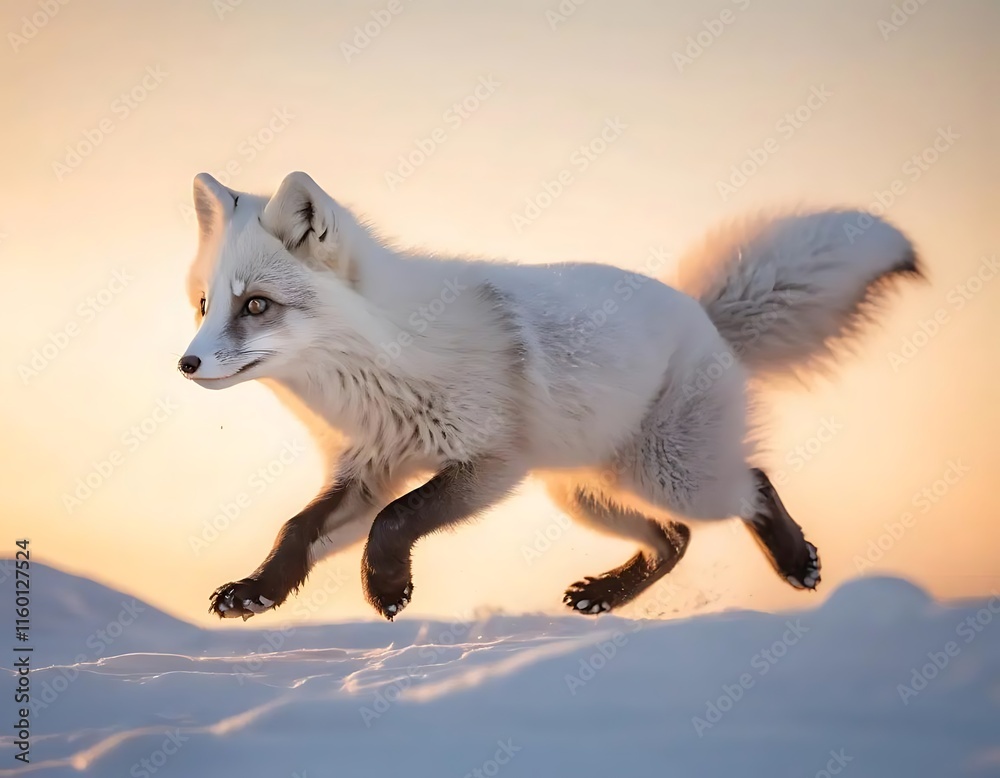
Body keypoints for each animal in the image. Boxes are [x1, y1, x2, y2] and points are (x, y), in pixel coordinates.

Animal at [180, 171, 922, 621]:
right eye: (206, 304)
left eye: (256, 304)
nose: (186, 363)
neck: (381, 370)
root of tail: (702, 313)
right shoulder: (369, 467)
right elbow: (297, 529)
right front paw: (258, 590)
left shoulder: (491, 462)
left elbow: (396, 520)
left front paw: (386, 585)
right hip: (585, 492)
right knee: (674, 540)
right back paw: (606, 596)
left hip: (670, 475)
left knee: (754, 483)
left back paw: (797, 562)